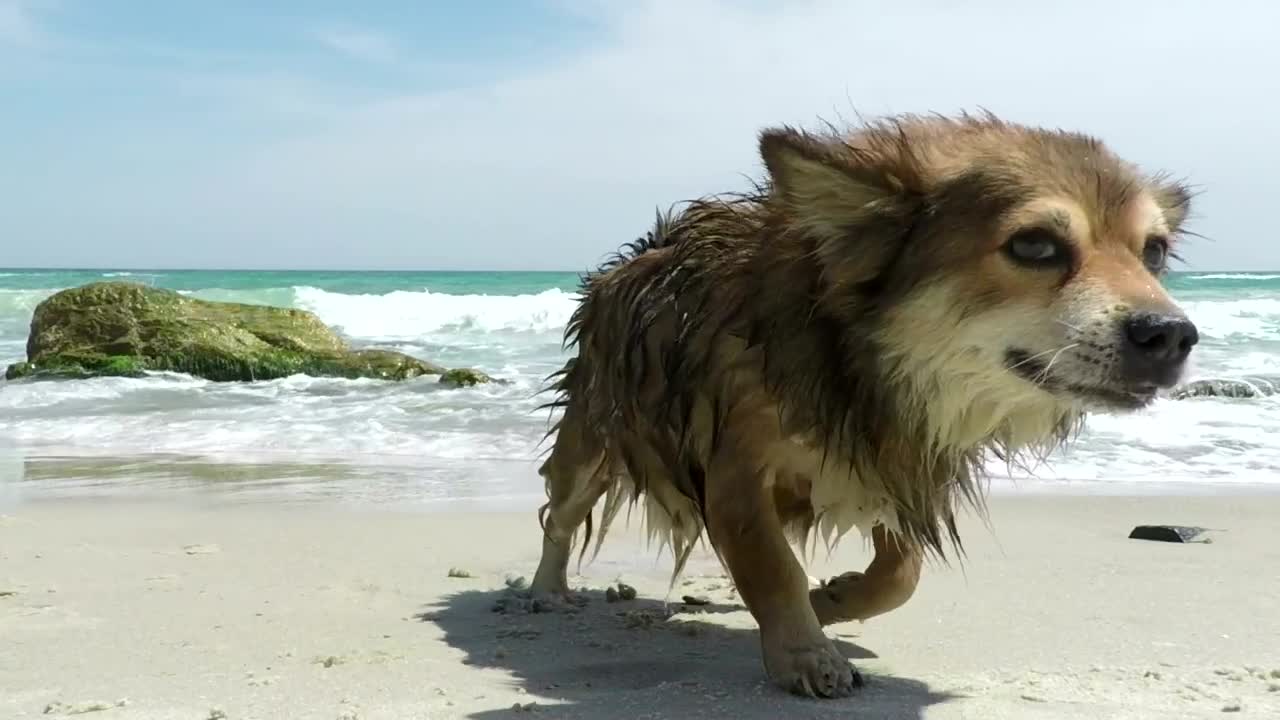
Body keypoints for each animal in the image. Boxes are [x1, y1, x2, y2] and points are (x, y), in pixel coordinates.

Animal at [524, 110, 1192, 696]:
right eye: (1034, 245)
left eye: (1154, 252)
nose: (1172, 335)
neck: (863, 361)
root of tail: (638, 255)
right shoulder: (737, 470)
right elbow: (773, 565)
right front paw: (805, 653)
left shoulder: (889, 463)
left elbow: (902, 574)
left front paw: (832, 599)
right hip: (590, 447)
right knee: (559, 515)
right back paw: (544, 589)